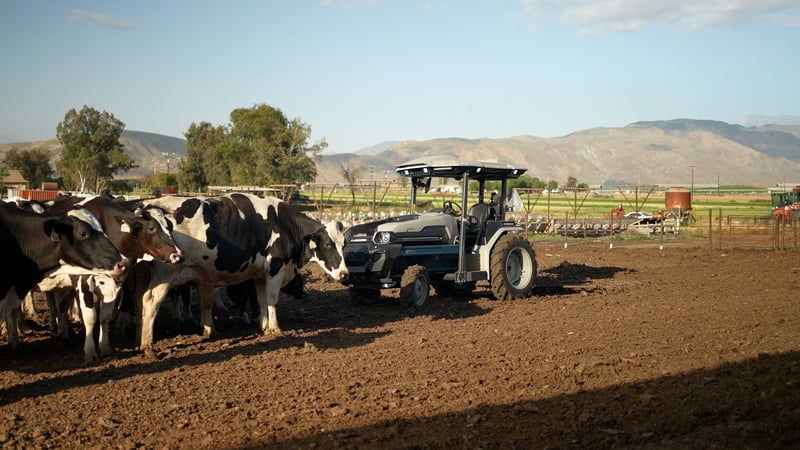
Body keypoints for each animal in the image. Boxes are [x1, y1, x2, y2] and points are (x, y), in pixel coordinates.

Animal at [126, 193, 347, 355]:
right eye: (329, 244)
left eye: (343, 244)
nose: (344, 274)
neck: (284, 224)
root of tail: (146, 205)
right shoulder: (275, 269)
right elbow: (272, 299)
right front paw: (275, 328)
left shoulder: (260, 275)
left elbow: (261, 300)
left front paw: (264, 326)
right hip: (164, 274)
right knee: (150, 302)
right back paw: (148, 345)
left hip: (144, 275)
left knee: (138, 302)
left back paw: (138, 338)